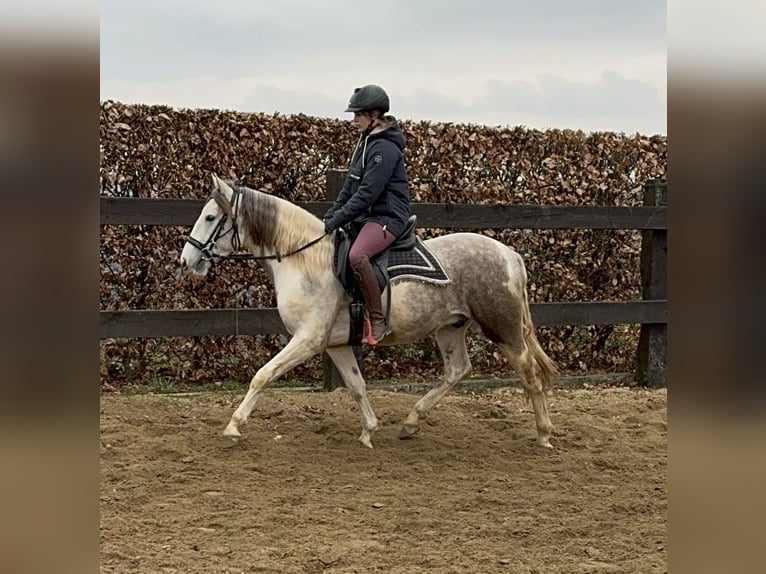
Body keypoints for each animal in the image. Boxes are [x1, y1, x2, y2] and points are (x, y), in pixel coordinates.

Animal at [183, 174, 560, 450]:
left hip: (503, 327)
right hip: (450, 326)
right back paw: (410, 422)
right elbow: (356, 385)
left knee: (528, 372)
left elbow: (263, 375)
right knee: (457, 370)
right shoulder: (335, 344)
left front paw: (233, 426)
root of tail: (510, 254)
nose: (187, 261)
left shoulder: (308, 340)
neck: (304, 259)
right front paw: (368, 431)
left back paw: (543, 433)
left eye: (211, 217)